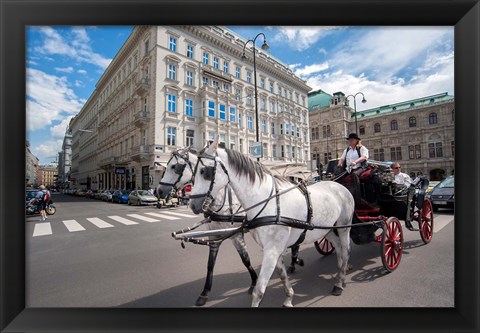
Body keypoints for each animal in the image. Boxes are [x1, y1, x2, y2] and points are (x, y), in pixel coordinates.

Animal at [158, 147, 256, 304]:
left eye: (174, 167)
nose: (159, 191)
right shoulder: (213, 236)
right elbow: (210, 264)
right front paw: (205, 292)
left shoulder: (236, 234)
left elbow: (246, 259)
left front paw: (254, 282)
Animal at [189, 139, 354, 306]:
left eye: (205, 172)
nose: (192, 205)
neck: (269, 203)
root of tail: (339, 185)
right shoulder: (273, 249)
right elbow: (282, 275)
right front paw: (289, 298)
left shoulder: (272, 250)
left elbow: (259, 291)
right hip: (326, 229)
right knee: (338, 247)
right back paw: (341, 271)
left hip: (344, 227)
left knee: (346, 250)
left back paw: (339, 282)